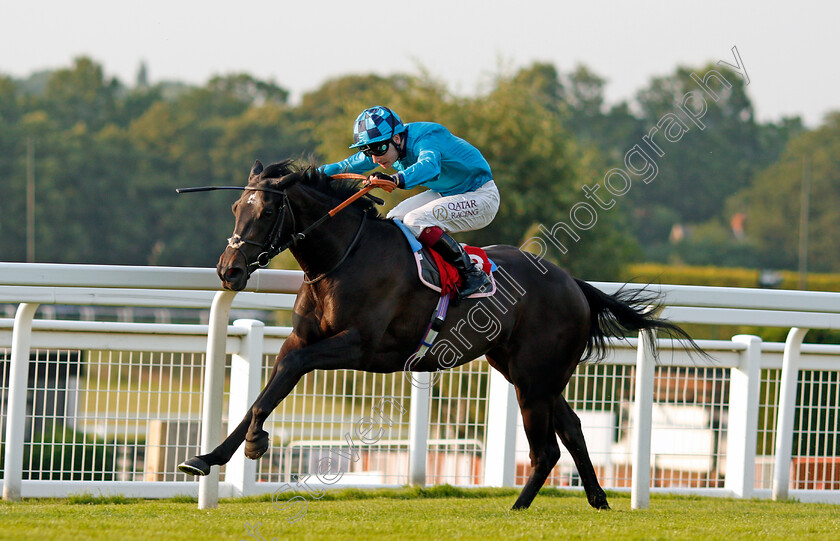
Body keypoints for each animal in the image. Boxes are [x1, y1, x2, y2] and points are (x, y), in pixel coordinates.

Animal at [179, 158, 704, 508]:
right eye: (235, 207)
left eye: (266, 213)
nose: (228, 271)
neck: (344, 257)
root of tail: (573, 282)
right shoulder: (303, 338)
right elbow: (269, 388)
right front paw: (207, 457)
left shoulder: (361, 346)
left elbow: (286, 371)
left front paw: (255, 443)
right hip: (527, 371)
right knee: (572, 429)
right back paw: (597, 497)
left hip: (534, 378)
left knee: (547, 448)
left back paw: (517, 508)